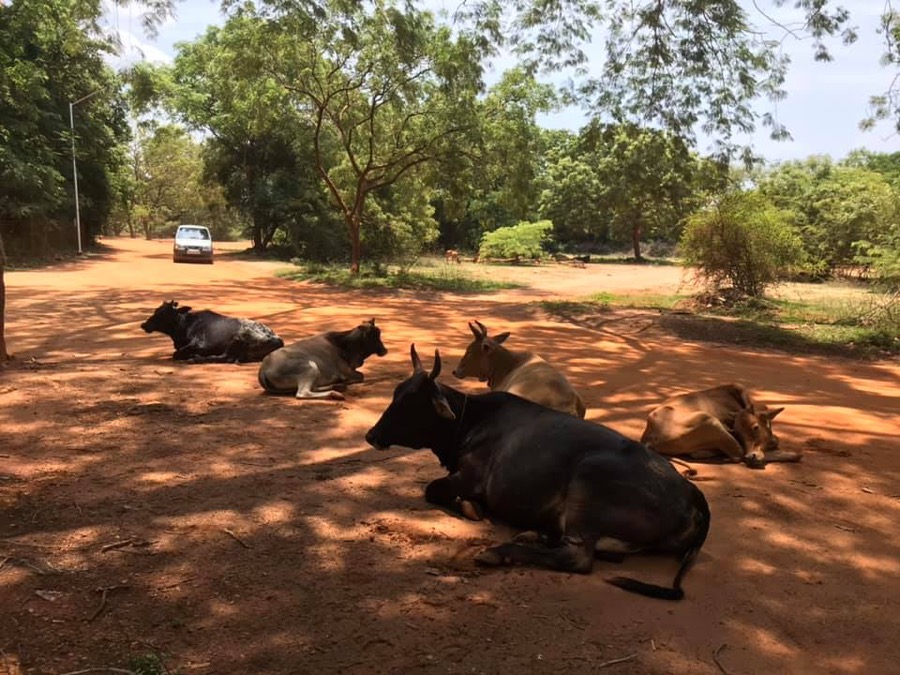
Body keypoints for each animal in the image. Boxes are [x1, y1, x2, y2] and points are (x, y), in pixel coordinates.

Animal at [140, 300, 284, 363]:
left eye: (164, 313)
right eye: (157, 310)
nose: (144, 324)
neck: (186, 325)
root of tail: (279, 340)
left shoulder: (202, 345)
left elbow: (177, 353)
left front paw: (190, 356)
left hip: (238, 339)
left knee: (224, 358)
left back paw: (195, 358)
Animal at [257, 319, 388, 399]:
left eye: (378, 333)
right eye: (372, 335)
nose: (384, 350)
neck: (342, 344)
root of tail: (263, 370)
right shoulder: (346, 371)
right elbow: (361, 376)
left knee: (313, 388)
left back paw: (336, 386)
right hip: (310, 366)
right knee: (303, 393)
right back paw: (334, 393)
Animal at [365, 345, 711, 601]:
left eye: (411, 403)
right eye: (395, 395)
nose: (371, 435)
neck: (471, 420)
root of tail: (690, 490)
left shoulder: (472, 478)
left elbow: (433, 489)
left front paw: (471, 508)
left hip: (589, 481)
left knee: (577, 558)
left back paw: (499, 551)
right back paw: (535, 534)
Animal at [640, 384, 800, 469]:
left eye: (755, 427)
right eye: (737, 432)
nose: (751, 457)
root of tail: (648, 436)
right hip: (710, 421)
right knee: (737, 456)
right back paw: (792, 455)